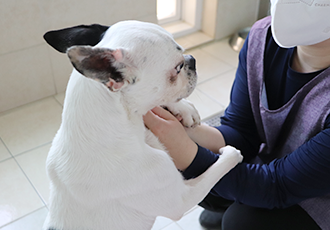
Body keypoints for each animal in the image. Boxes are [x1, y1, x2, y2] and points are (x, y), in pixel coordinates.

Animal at [42, 20, 241, 229]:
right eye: (177, 67)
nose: (192, 59)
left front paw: (184, 108)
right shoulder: (183, 197)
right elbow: (219, 167)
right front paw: (231, 153)